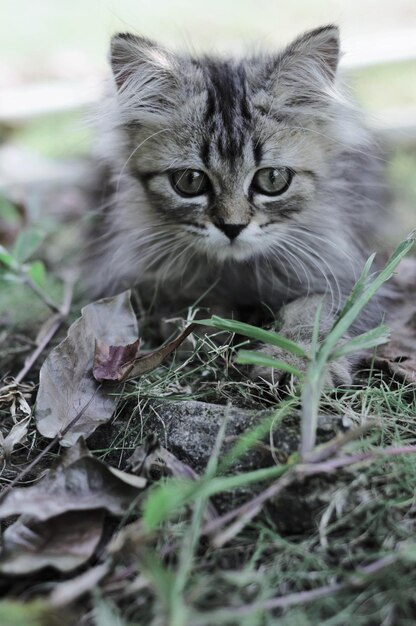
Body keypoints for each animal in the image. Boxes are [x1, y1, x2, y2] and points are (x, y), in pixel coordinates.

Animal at [88, 24, 390, 382]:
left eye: (272, 179)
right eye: (190, 181)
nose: (232, 227)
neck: (237, 273)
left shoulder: (344, 272)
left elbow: (315, 312)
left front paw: (298, 358)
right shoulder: (135, 276)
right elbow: (187, 304)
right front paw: (208, 329)